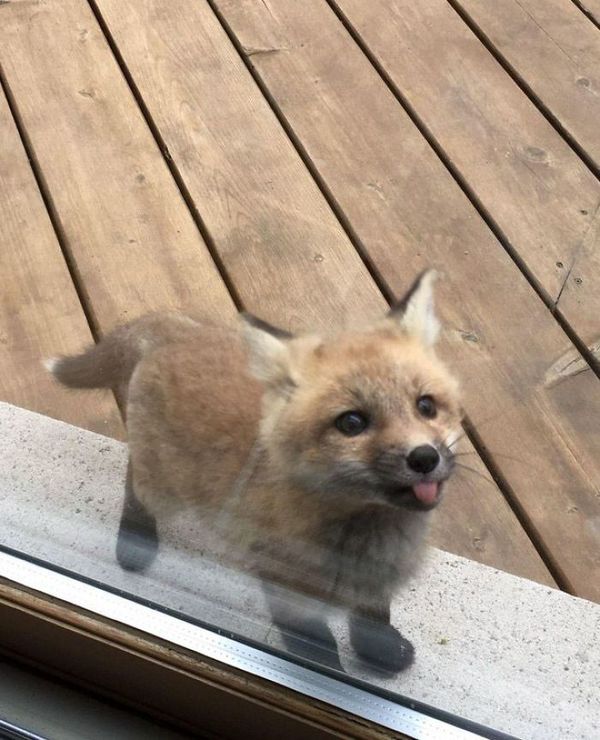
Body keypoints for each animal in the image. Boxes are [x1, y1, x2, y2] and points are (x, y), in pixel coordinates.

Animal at [48, 270, 460, 672]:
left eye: (426, 406)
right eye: (352, 423)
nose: (424, 458)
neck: (366, 538)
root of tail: (179, 331)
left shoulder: (377, 582)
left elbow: (372, 618)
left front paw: (380, 651)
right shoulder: (287, 589)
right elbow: (319, 651)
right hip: (164, 489)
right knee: (135, 482)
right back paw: (136, 540)